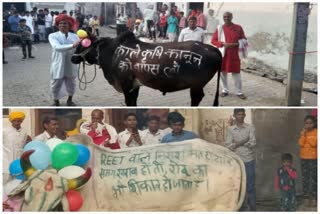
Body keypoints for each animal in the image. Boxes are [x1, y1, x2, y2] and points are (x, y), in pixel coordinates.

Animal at [71, 31, 221, 105]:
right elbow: (133, 102)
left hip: (196, 85)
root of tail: (215, 50)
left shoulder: (125, 84)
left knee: (196, 98)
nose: (72, 58)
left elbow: (128, 102)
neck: (112, 51)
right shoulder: (135, 85)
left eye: (83, 44)